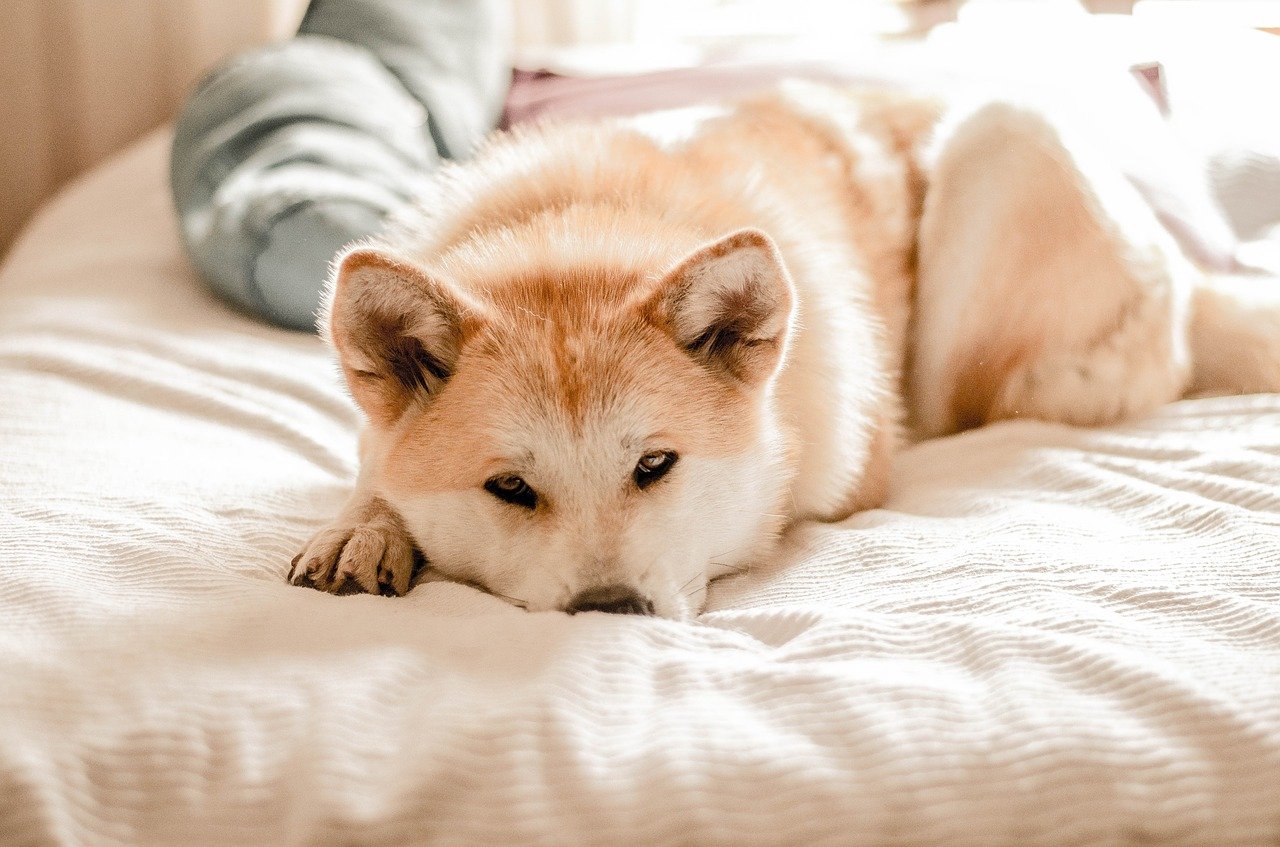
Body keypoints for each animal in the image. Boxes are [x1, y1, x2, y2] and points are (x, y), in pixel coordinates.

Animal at [288, 83, 1280, 621]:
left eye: (655, 465)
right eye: (509, 487)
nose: (610, 612)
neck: (580, 226)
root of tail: (1191, 277)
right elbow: (372, 470)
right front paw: (361, 526)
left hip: (1002, 139)